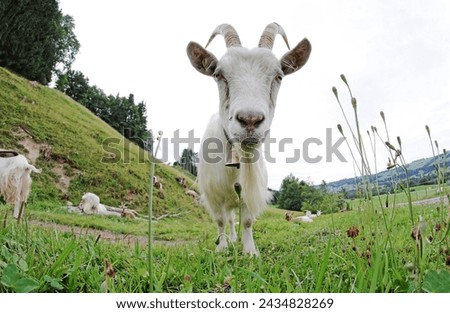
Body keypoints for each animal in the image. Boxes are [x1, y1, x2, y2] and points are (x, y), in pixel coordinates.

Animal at [185, 23, 310, 255]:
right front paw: (222, 248)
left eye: (279, 76)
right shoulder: (213, 196)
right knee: (228, 218)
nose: (250, 120)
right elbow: (220, 221)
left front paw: (250, 251)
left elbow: (247, 221)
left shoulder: (250, 193)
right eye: (218, 75)